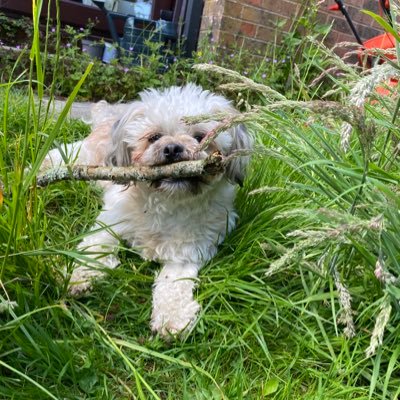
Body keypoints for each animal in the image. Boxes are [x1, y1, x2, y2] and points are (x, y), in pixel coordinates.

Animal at [43, 83, 252, 334]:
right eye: (154, 137)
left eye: (200, 137)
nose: (172, 148)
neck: (167, 202)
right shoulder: (110, 222)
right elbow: (94, 248)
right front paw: (78, 276)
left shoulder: (189, 251)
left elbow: (174, 283)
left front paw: (172, 316)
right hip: (82, 155)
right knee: (59, 154)